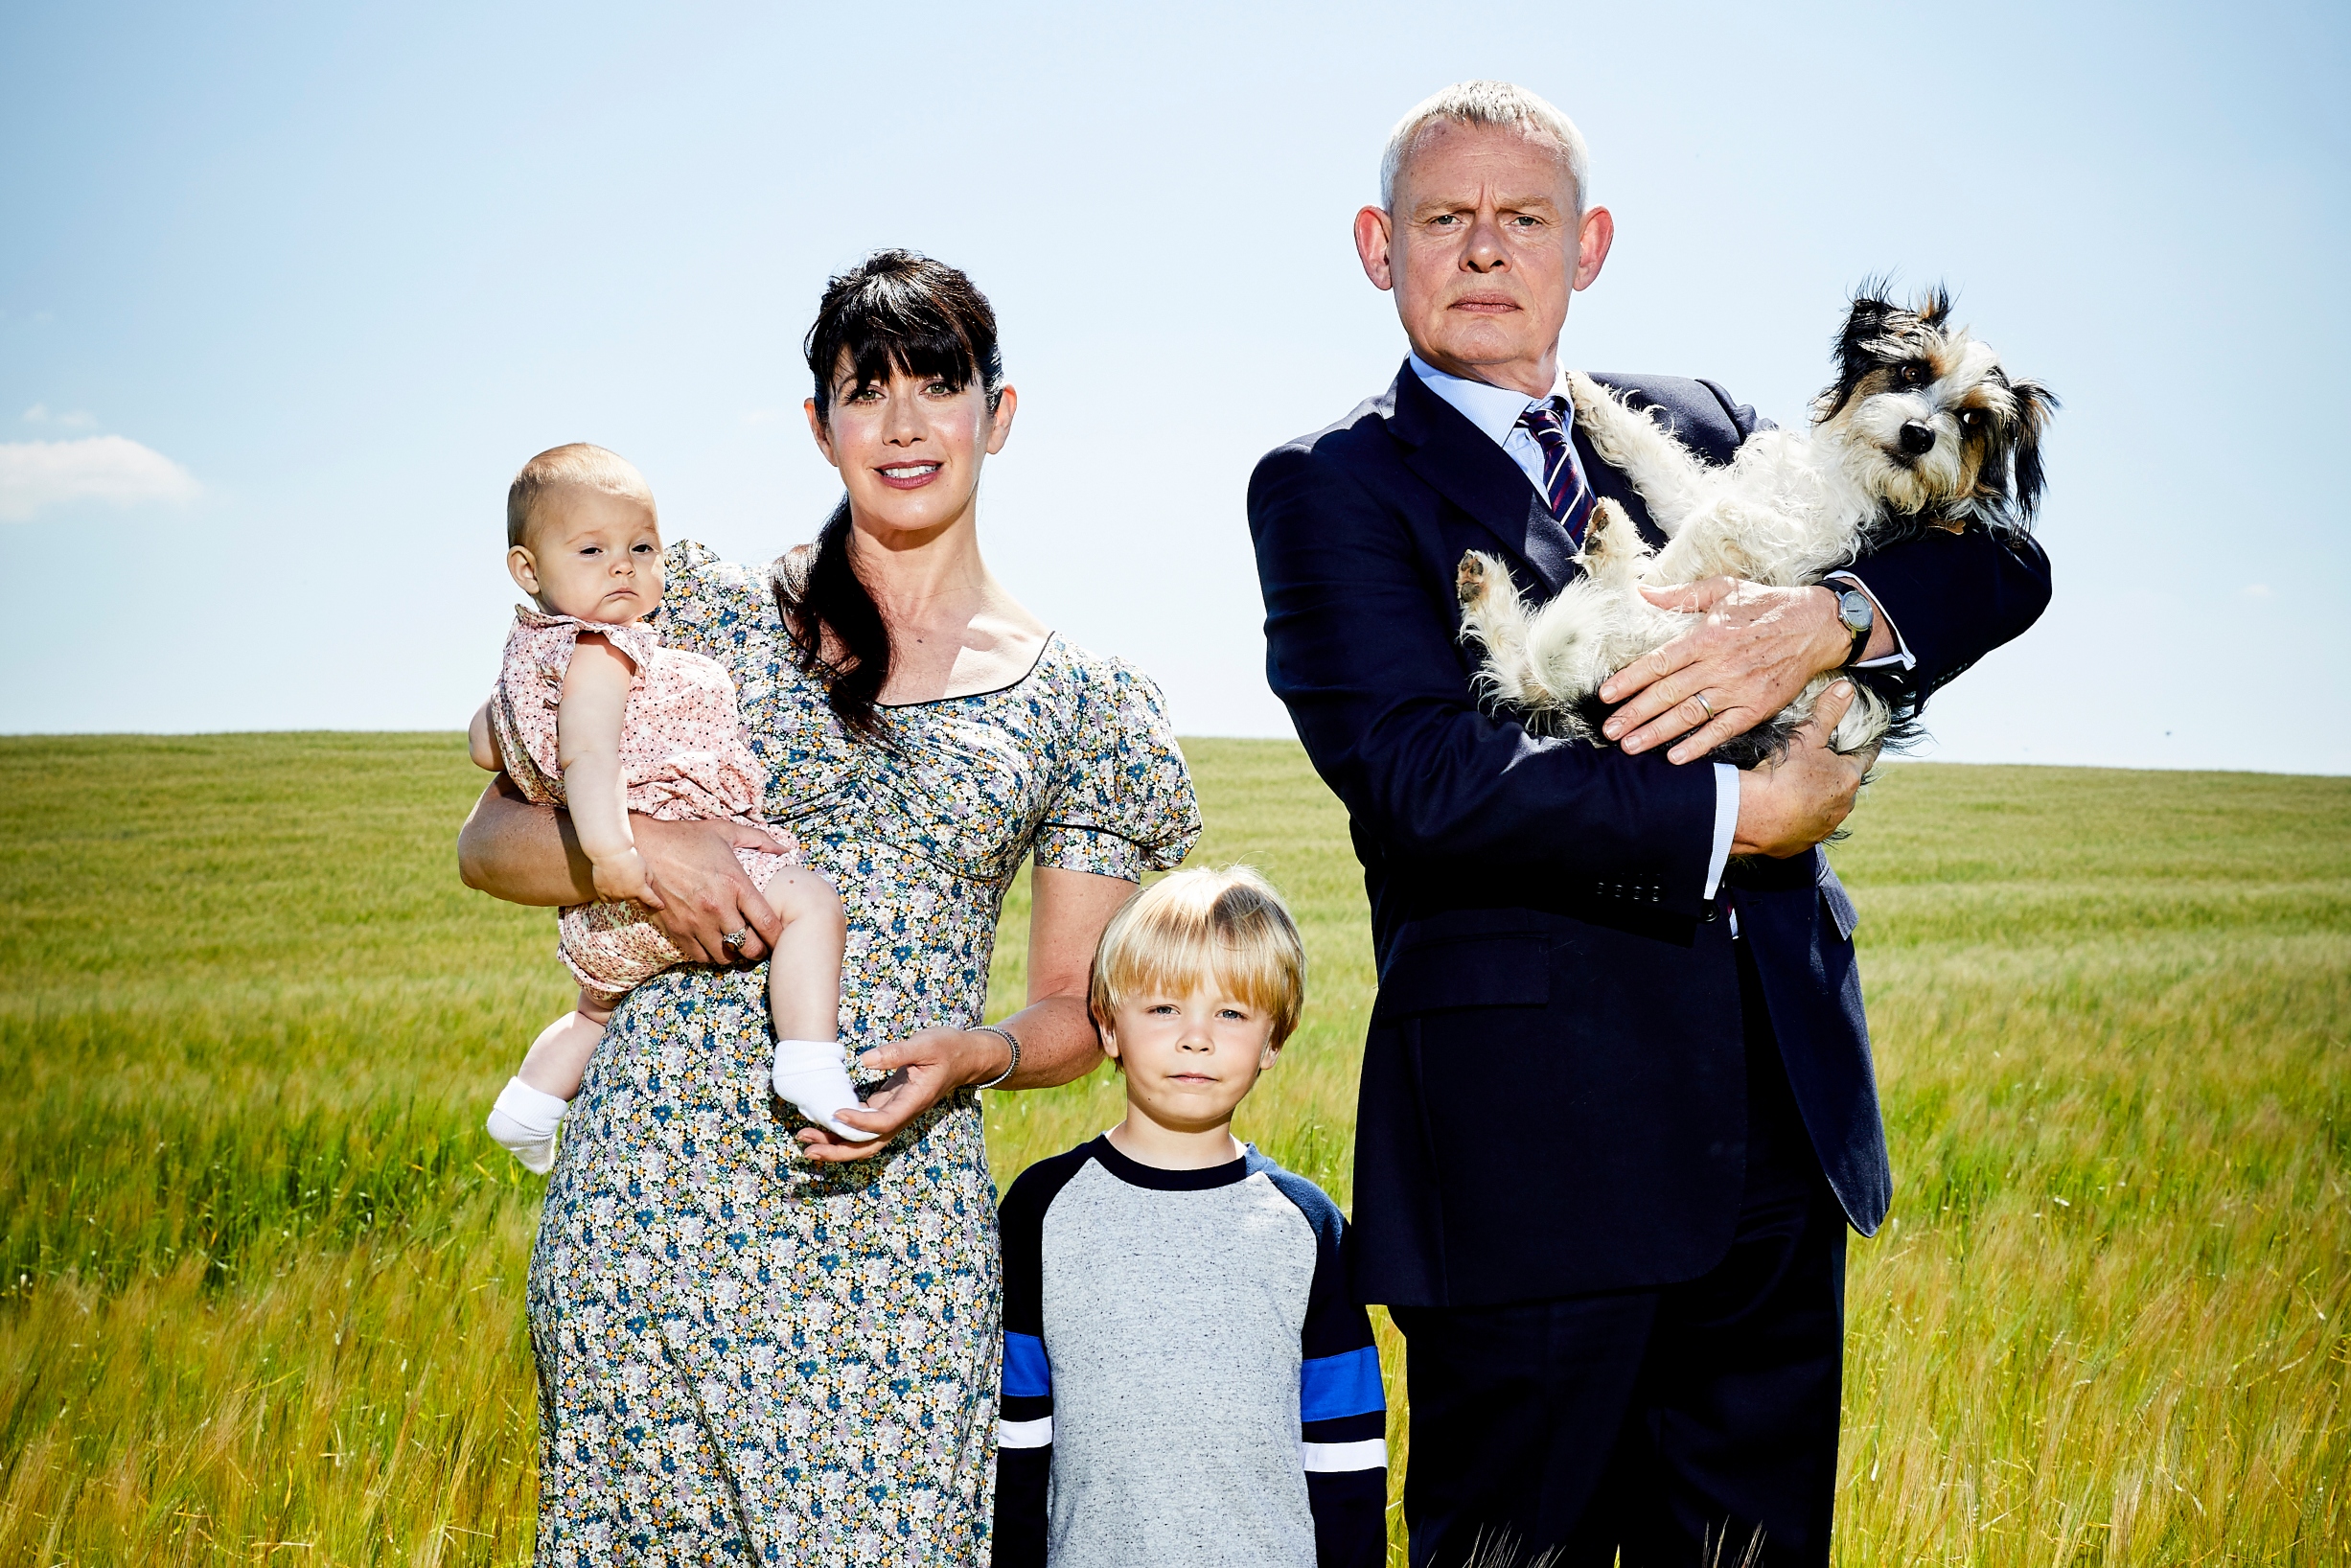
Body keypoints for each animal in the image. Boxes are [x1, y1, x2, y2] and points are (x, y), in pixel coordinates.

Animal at [1448, 291, 2059, 771]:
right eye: (1912, 372)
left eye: (1971, 418)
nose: (1918, 434)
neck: (1850, 474)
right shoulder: (1711, 496)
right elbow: (1660, 462)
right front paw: (1585, 391)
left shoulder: (1796, 557)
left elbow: (1709, 522)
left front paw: (1653, 572)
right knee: (1524, 669)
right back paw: (1490, 586)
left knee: (1571, 645)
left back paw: (1610, 553)